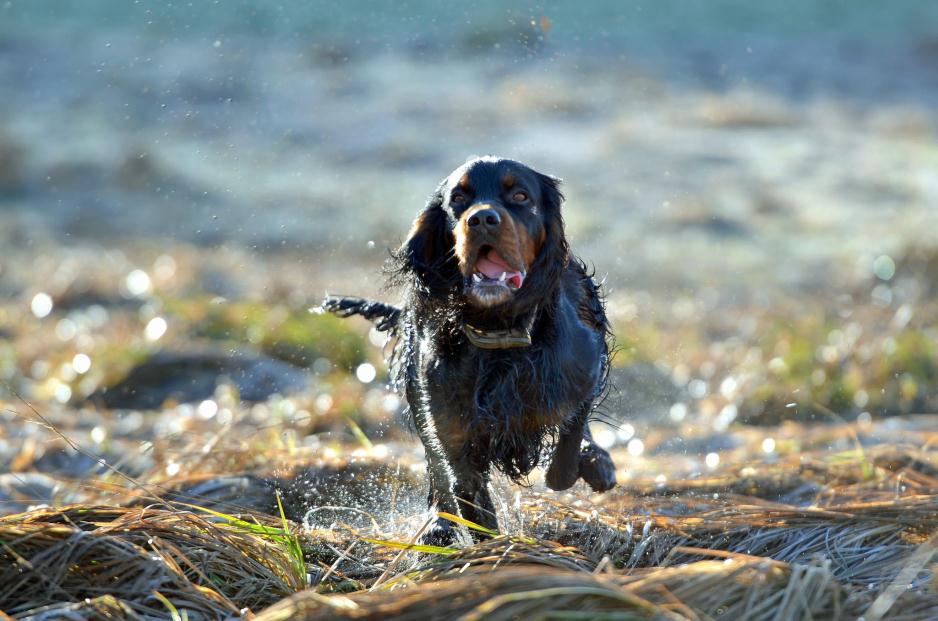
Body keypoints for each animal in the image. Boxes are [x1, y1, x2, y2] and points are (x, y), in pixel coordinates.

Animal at [322, 156, 616, 544]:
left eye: (520, 195)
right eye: (458, 199)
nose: (482, 219)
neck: (498, 333)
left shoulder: (584, 368)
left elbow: (570, 436)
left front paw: (580, 463)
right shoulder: (452, 429)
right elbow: (465, 491)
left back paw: (597, 462)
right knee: (436, 467)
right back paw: (438, 523)